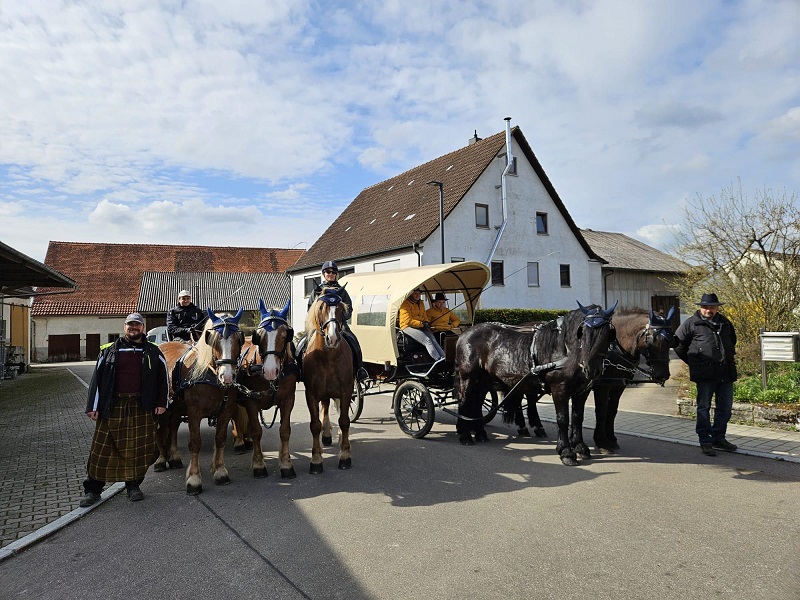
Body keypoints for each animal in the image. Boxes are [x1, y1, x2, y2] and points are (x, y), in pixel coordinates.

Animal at [155, 308, 245, 494]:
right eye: (214, 341)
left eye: (238, 339)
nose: (227, 376)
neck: (210, 373)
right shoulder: (194, 412)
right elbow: (195, 443)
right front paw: (194, 479)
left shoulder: (226, 410)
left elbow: (220, 439)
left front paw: (220, 471)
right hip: (163, 407)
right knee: (161, 430)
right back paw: (161, 460)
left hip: (177, 407)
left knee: (173, 428)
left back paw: (174, 457)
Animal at [234, 298, 300, 479]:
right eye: (260, 335)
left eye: (285, 335)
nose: (270, 371)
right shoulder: (251, 401)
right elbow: (257, 430)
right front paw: (258, 465)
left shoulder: (288, 400)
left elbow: (285, 430)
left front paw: (286, 464)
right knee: (234, 418)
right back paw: (239, 442)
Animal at [302, 287, 355, 473]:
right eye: (320, 308)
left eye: (341, 308)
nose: (332, 338)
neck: (328, 357)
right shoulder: (311, 394)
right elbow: (315, 425)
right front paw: (316, 460)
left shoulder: (346, 391)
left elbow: (344, 421)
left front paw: (345, 456)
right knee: (325, 409)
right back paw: (326, 435)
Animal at [455, 301, 617, 466]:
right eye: (582, 331)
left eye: (608, 333)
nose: (591, 368)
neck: (564, 349)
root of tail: (465, 333)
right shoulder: (560, 389)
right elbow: (563, 419)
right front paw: (566, 452)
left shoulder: (582, 392)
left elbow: (578, 418)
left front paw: (580, 448)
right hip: (468, 376)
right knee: (464, 400)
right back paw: (465, 435)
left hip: (483, 380)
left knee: (476, 401)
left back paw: (480, 433)